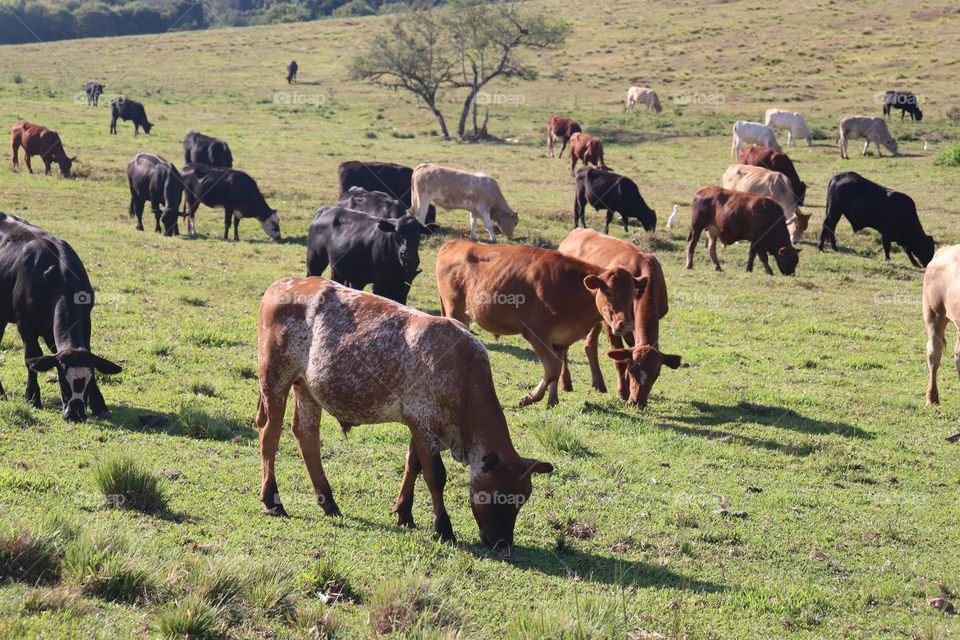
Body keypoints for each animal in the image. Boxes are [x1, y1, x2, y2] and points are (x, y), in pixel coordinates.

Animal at [0, 213, 122, 422]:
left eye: (88, 381)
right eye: (62, 381)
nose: (75, 414)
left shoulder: (84, 321)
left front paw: (99, 404)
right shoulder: (25, 324)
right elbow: (32, 357)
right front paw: (32, 397)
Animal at [256, 277, 553, 548]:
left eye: (522, 498)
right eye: (498, 495)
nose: (502, 543)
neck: (464, 372)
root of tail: (281, 284)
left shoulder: (421, 425)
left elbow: (413, 465)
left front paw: (404, 513)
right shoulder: (422, 421)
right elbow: (435, 475)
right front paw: (443, 528)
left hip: (306, 387)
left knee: (307, 437)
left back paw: (329, 503)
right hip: (275, 378)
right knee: (269, 435)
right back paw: (272, 500)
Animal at [435, 239, 645, 407]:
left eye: (633, 294)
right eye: (608, 292)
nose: (626, 324)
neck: (569, 287)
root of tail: (454, 243)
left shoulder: (560, 340)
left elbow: (557, 368)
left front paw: (553, 401)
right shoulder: (535, 332)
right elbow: (552, 368)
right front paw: (530, 397)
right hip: (455, 311)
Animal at [557, 228, 681, 407]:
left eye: (656, 375)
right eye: (633, 371)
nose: (637, 402)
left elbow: (627, 352)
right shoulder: (611, 324)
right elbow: (619, 358)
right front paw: (623, 392)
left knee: (589, 344)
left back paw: (599, 384)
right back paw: (565, 382)